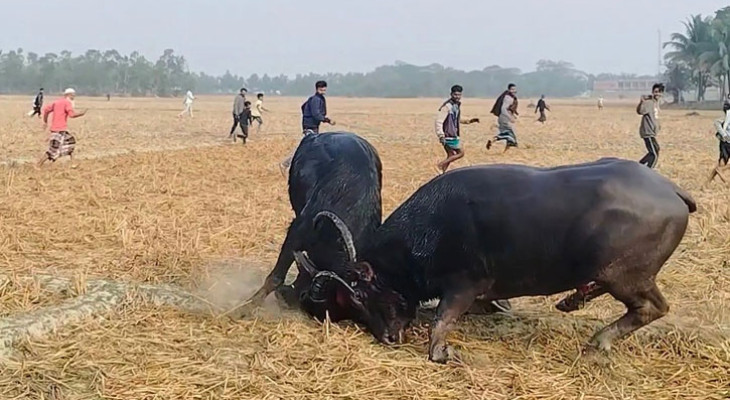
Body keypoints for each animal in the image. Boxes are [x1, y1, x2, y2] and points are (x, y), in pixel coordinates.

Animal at [294, 159, 692, 362]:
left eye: (363, 294)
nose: (389, 338)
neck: (429, 227)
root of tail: (671, 190)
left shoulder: (463, 285)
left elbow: (442, 318)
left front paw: (440, 352)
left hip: (625, 276)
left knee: (652, 308)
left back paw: (598, 342)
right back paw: (572, 301)